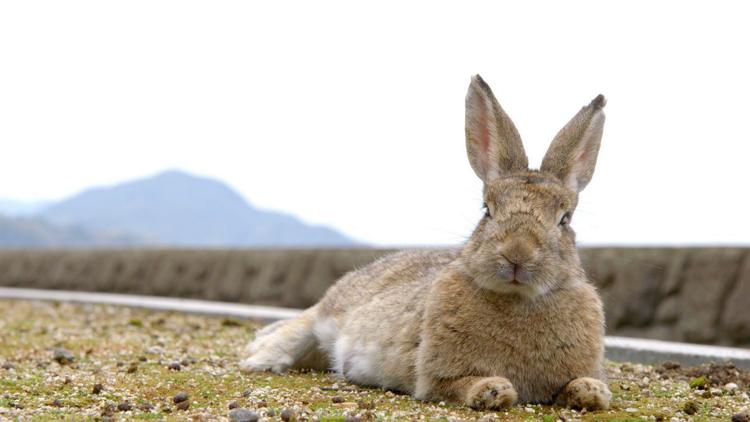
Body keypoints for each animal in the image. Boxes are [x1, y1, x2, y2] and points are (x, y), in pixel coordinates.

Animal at [244, 74, 612, 410]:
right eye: (487, 210)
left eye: (564, 220)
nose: (516, 254)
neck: (520, 299)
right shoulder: (435, 375)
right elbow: (457, 384)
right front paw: (493, 390)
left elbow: (574, 387)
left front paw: (593, 392)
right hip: (333, 311)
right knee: (303, 325)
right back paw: (259, 356)